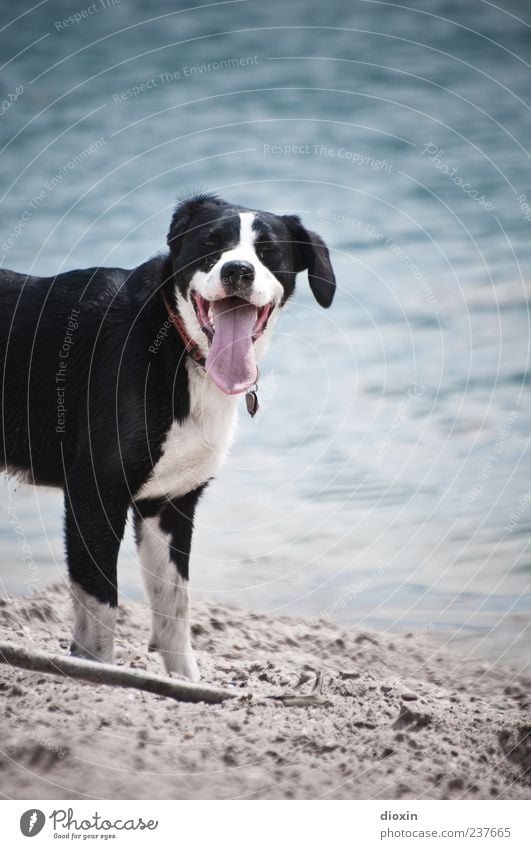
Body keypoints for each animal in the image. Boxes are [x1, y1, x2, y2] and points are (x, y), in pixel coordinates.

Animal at [0, 195, 336, 680]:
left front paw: (185, 682)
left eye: (268, 251)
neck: (179, 348)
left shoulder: (170, 502)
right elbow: (100, 608)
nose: (238, 271)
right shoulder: (94, 492)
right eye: (210, 244)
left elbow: (174, 607)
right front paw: (104, 675)